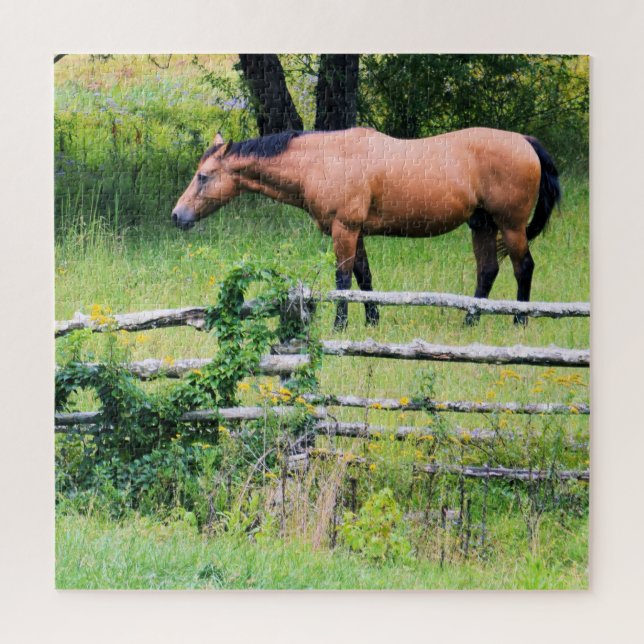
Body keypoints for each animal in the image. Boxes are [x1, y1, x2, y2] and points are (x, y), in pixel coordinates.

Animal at [171, 127, 560, 329]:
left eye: (203, 176)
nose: (178, 216)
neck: (323, 160)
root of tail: (525, 141)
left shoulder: (344, 228)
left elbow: (343, 280)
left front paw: (340, 326)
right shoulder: (354, 231)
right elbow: (364, 276)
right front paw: (373, 320)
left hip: (510, 225)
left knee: (523, 267)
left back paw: (520, 322)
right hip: (481, 224)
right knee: (488, 270)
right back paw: (469, 322)